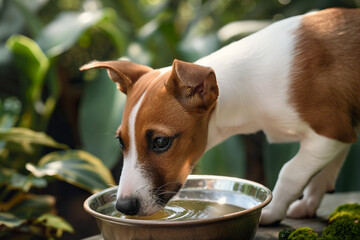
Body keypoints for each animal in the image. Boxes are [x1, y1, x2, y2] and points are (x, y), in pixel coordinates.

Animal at [80, 7, 358, 225]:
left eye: (160, 142)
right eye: (121, 142)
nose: (124, 207)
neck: (248, 85)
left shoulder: (331, 132)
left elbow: (291, 171)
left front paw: (273, 211)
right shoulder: (342, 131)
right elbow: (324, 170)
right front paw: (309, 203)